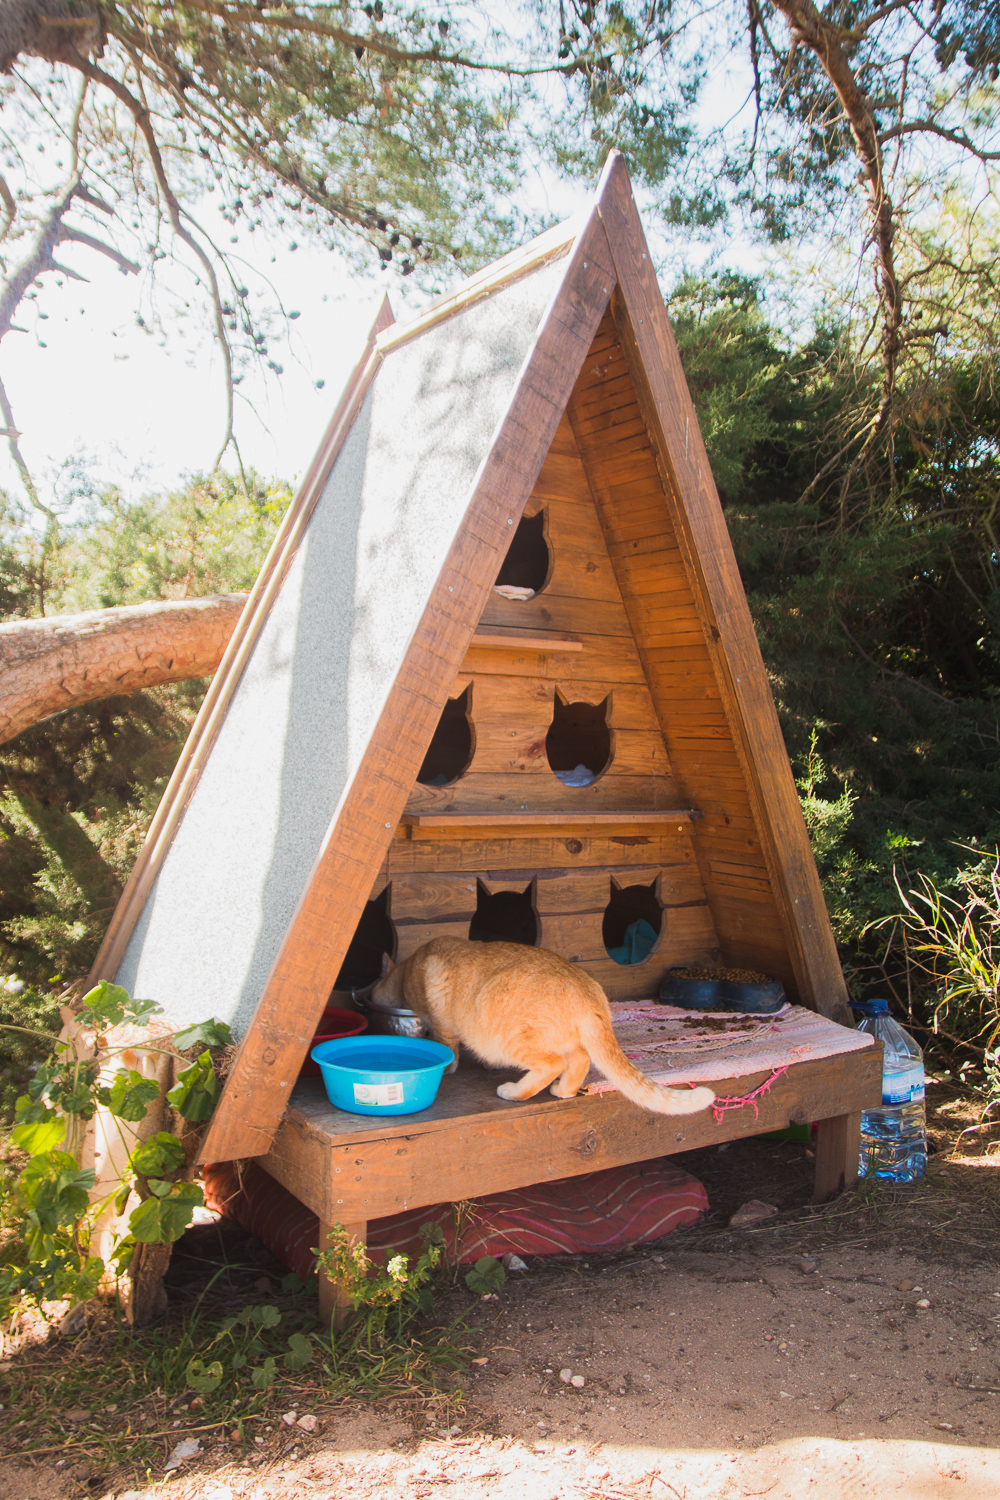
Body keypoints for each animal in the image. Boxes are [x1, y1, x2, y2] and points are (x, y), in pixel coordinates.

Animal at [365, 936, 710, 1116]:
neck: (407, 971)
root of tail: (587, 991)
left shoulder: (440, 1021)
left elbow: (448, 1047)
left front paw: (450, 1067)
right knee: (580, 1059)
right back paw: (563, 1091)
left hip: (509, 1040)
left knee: (553, 1063)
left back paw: (515, 1091)